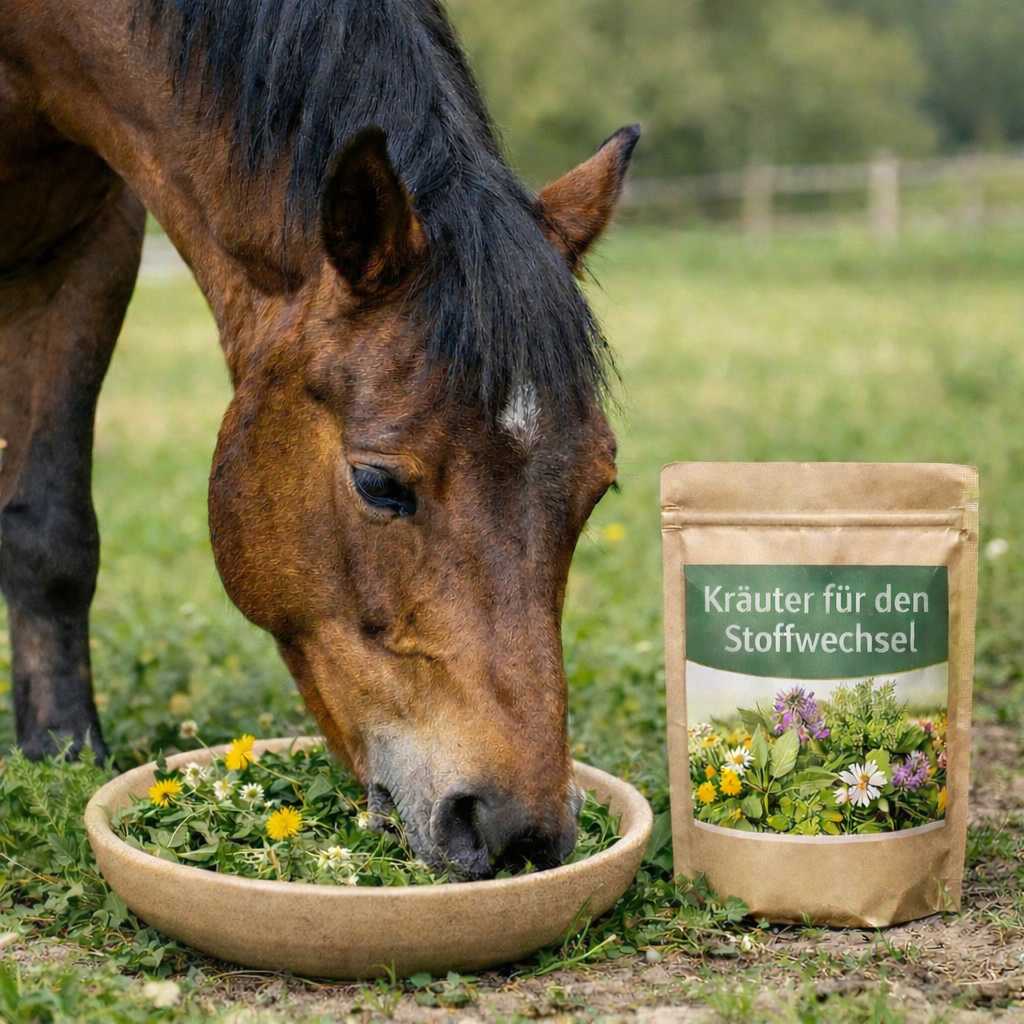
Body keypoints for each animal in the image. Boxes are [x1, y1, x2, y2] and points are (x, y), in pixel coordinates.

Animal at [0, 0, 638, 878]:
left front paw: (59, 747)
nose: (519, 831)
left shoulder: (89, 241)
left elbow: (48, 537)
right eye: (378, 483)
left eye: (597, 487)